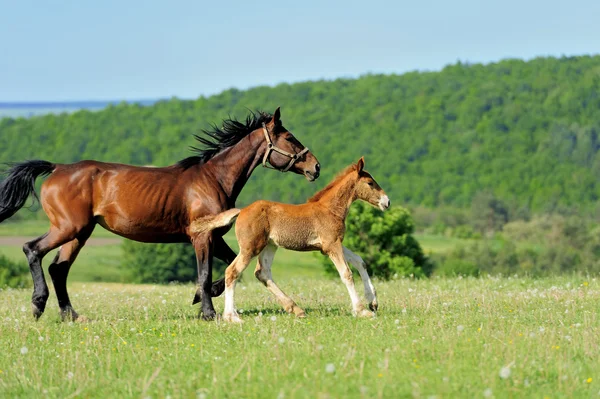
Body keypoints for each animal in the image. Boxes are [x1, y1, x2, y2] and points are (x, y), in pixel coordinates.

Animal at [0, 108, 322, 322]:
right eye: (289, 137)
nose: (315, 167)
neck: (213, 178)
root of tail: (56, 168)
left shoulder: (215, 237)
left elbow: (232, 266)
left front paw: (202, 297)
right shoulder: (202, 236)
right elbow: (205, 273)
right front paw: (208, 311)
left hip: (80, 233)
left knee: (59, 268)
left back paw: (71, 315)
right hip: (68, 228)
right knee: (32, 249)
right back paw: (38, 305)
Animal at [190, 158, 392, 324]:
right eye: (370, 183)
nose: (387, 202)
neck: (330, 209)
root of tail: (241, 211)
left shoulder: (331, 245)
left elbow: (360, 261)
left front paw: (373, 302)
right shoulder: (331, 245)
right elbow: (347, 273)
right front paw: (362, 310)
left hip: (269, 246)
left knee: (262, 272)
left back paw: (296, 309)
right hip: (251, 247)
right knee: (232, 272)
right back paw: (231, 316)